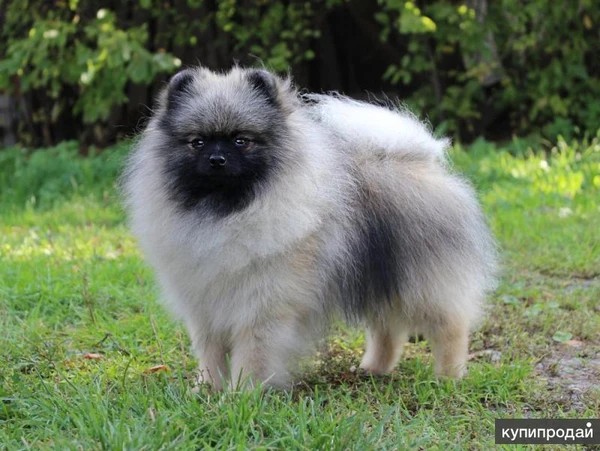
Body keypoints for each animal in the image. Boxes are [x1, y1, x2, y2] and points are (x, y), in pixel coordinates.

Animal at [123, 65, 496, 390]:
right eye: (197, 142)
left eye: (242, 140)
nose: (217, 159)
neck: (226, 213)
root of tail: (422, 161)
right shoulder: (204, 309)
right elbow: (210, 355)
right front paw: (207, 390)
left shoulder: (262, 307)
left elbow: (252, 355)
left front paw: (242, 395)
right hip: (379, 276)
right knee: (388, 329)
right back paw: (374, 368)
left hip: (422, 282)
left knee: (449, 328)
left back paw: (448, 377)